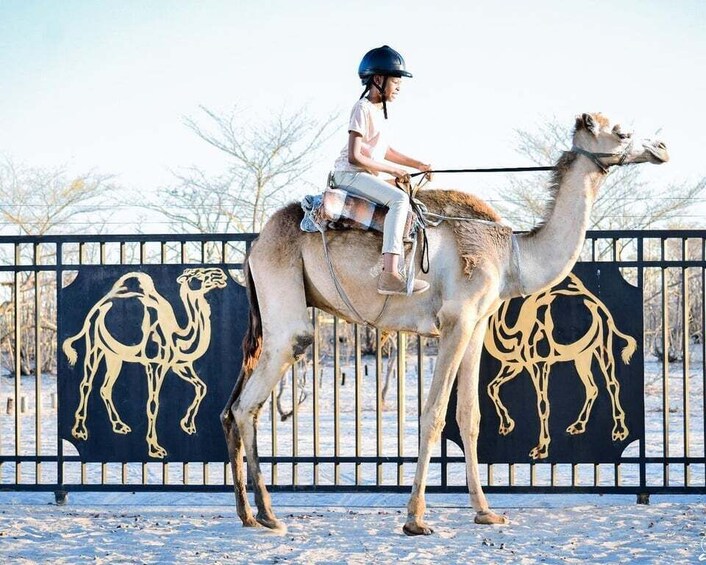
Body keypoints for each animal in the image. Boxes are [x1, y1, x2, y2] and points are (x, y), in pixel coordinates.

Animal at [63, 267, 227, 458]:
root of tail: (95, 309)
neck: (177, 338)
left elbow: (202, 387)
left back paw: (119, 426)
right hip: (94, 343)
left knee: (105, 388)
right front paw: (155, 448)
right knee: (86, 384)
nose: (219, 273)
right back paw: (80, 431)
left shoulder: (179, 364)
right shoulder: (154, 364)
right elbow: (153, 404)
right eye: (197, 275)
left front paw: (187, 425)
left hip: (115, 355)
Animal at [485, 272, 637, 460]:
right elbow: (491, 387)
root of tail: (599, 306)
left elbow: (543, 404)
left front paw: (541, 449)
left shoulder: (540, 362)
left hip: (602, 343)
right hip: (582, 355)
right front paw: (506, 425)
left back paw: (619, 431)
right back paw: (578, 426)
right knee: (592, 387)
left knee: (612, 383)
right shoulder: (515, 364)